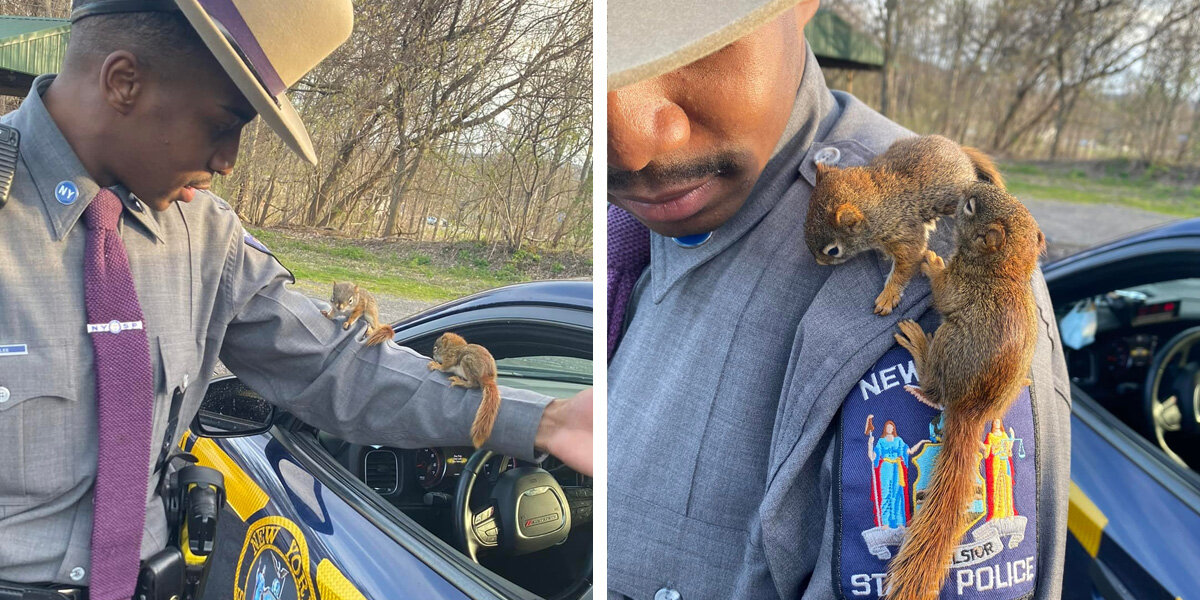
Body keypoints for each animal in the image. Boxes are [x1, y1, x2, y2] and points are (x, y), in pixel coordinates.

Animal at [804, 134, 1005, 315]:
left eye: (833, 250)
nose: (819, 262)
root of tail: (959, 148)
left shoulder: (904, 232)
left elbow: (906, 263)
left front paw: (888, 296)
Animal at [885, 183, 1044, 600]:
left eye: (971, 206)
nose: (965, 188)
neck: (1003, 268)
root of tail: (971, 411)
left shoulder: (960, 285)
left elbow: (942, 290)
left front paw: (931, 261)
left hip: (947, 342)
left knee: (933, 389)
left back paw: (917, 345)